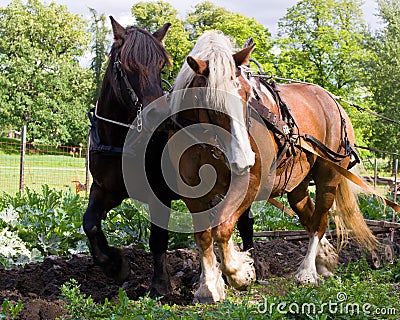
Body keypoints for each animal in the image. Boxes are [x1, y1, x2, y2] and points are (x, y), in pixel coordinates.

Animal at [83, 16, 255, 298]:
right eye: (127, 65)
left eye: (161, 65)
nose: (158, 113)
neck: (122, 140)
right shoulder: (103, 189)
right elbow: (90, 223)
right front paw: (115, 265)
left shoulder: (158, 194)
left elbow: (158, 238)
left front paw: (159, 285)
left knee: (243, 220)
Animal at [169, 31, 378, 304]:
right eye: (211, 103)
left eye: (248, 95)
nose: (244, 159)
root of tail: (332, 101)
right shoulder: (192, 192)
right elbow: (203, 236)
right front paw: (209, 287)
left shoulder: (250, 183)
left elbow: (223, 228)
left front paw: (240, 273)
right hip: (297, 184)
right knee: (308, 216)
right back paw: (325, 259)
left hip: (328, 177)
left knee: (319, 221)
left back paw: (307, 272)